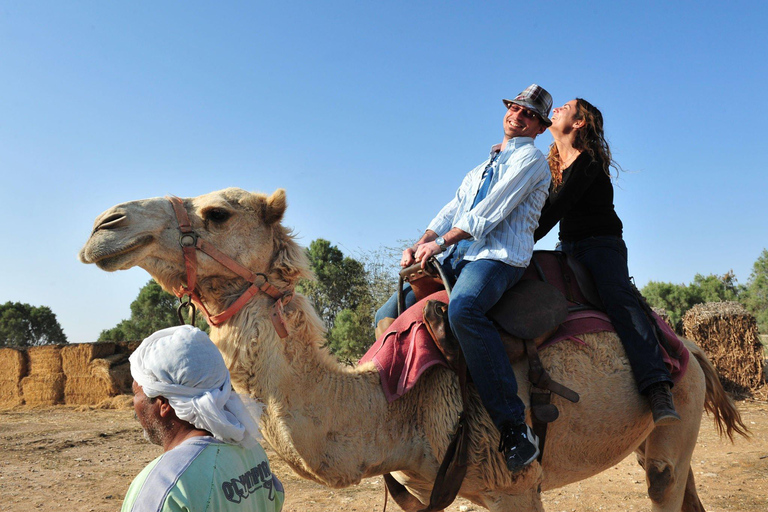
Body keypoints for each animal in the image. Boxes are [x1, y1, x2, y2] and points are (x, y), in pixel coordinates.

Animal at [81, 188, 748, 512]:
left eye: (217, 212)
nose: (105, 226)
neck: (392, 409)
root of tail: (690, 344)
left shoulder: (515, 488)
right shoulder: (428, 492)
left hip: (675, 416)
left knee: (665, 483)